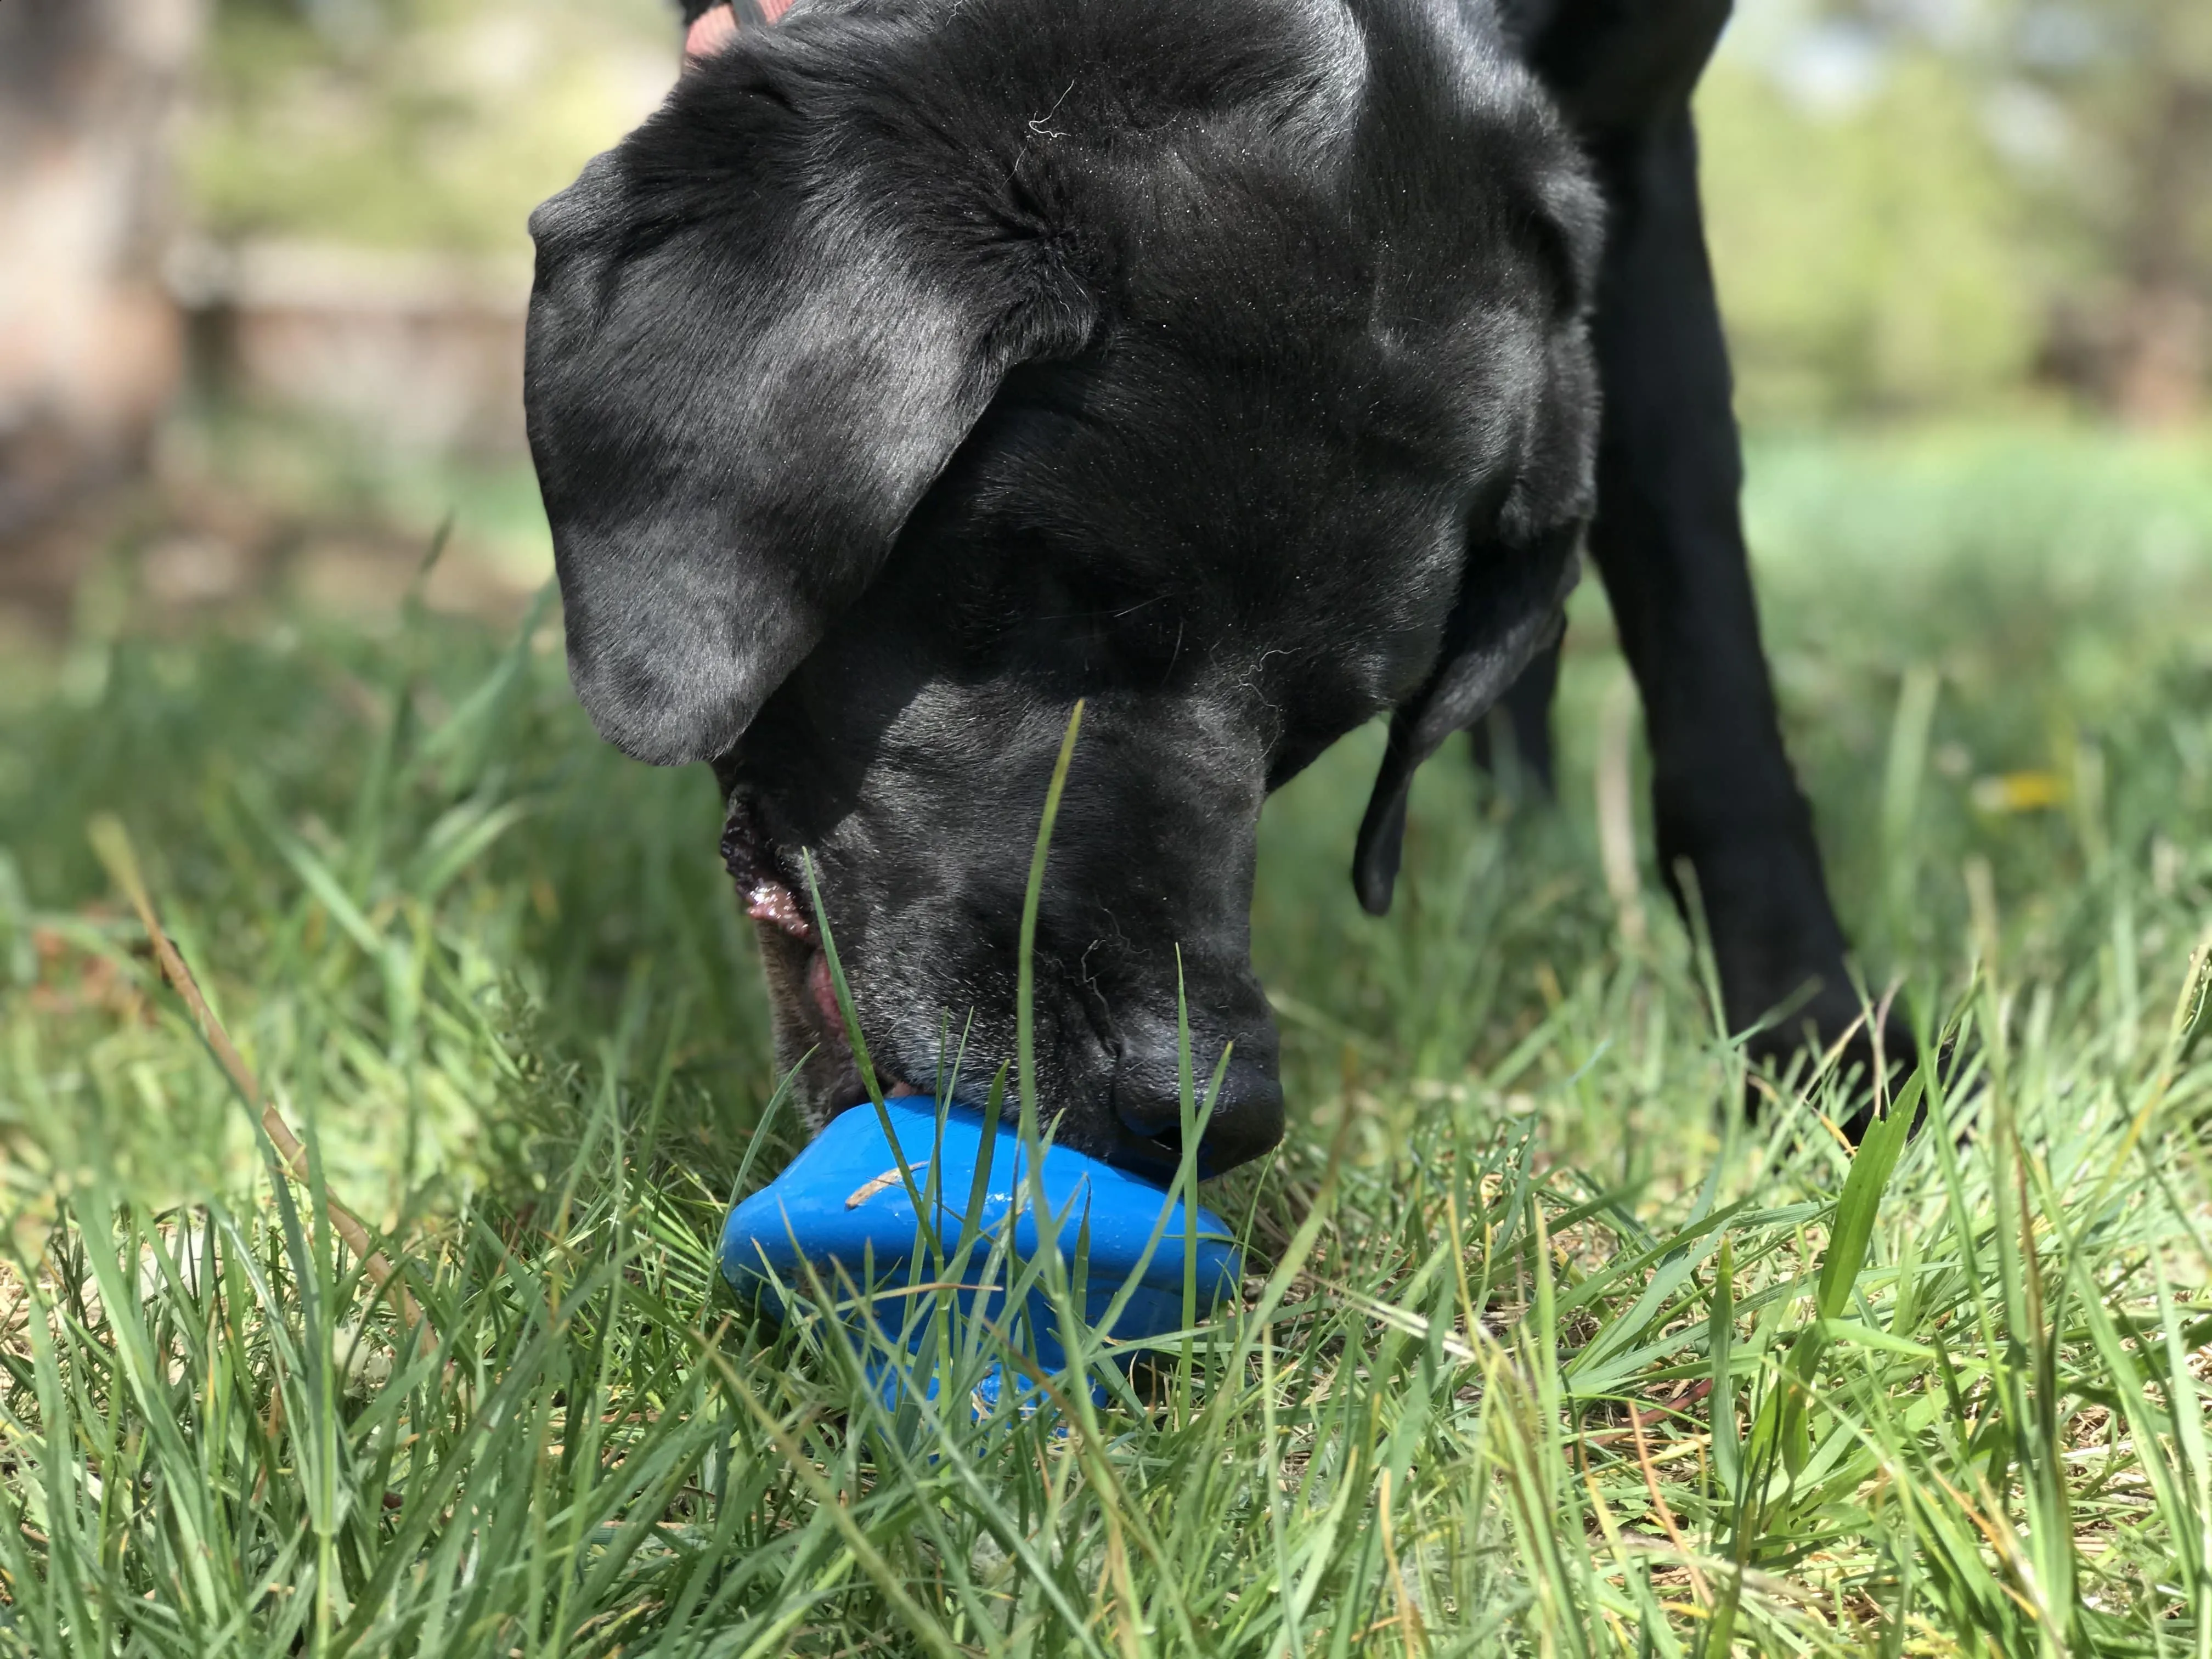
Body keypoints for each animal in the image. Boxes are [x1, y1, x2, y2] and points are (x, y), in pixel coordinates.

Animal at [522, 0, 1902, 1177]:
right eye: (1035, 590)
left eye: (1330, 726)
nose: (1206, 1110)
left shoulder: (1645, 153)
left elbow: (1716, 683)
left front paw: (1828, 1063)